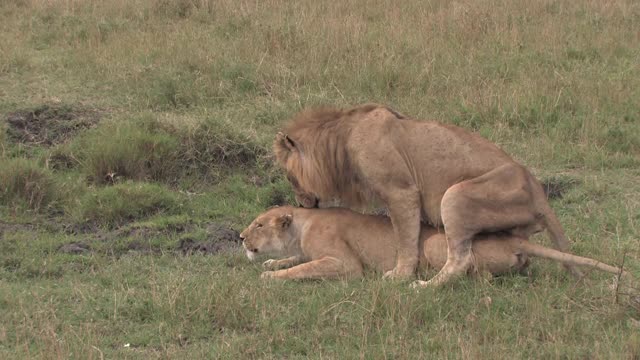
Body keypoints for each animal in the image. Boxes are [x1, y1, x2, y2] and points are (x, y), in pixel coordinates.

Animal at [272, 103, 584, 286]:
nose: (301, 204)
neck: (342, 138)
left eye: (289, 176)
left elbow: (406, 238)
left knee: (459, 259)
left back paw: (423, 286)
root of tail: (537, 190)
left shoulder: (402, 192)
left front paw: (399, 275)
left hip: (455, 195)